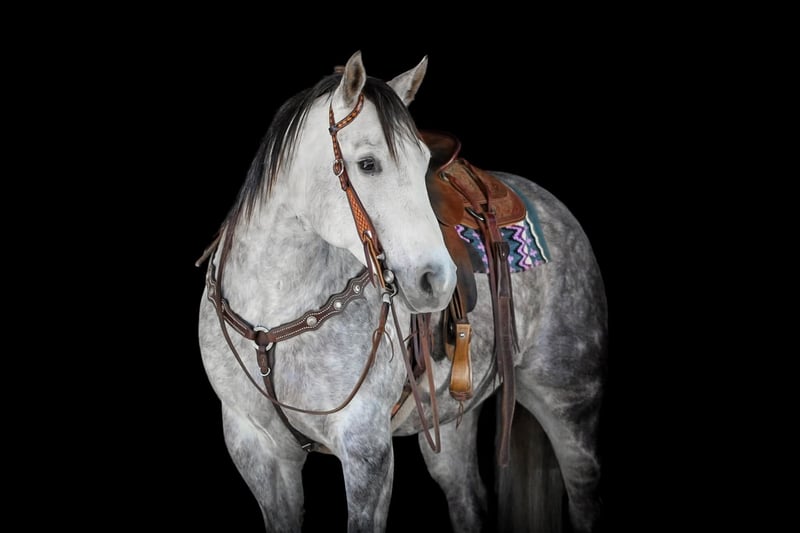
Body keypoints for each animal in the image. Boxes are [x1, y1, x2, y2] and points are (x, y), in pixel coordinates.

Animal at [197, 51, 607, 532]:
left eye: (422, 162)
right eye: (368, 164)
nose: (438, 281)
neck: (273, 317)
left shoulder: (366, 446)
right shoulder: (255, 447)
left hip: (571, 406)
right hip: (450, 421)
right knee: (468, 502)